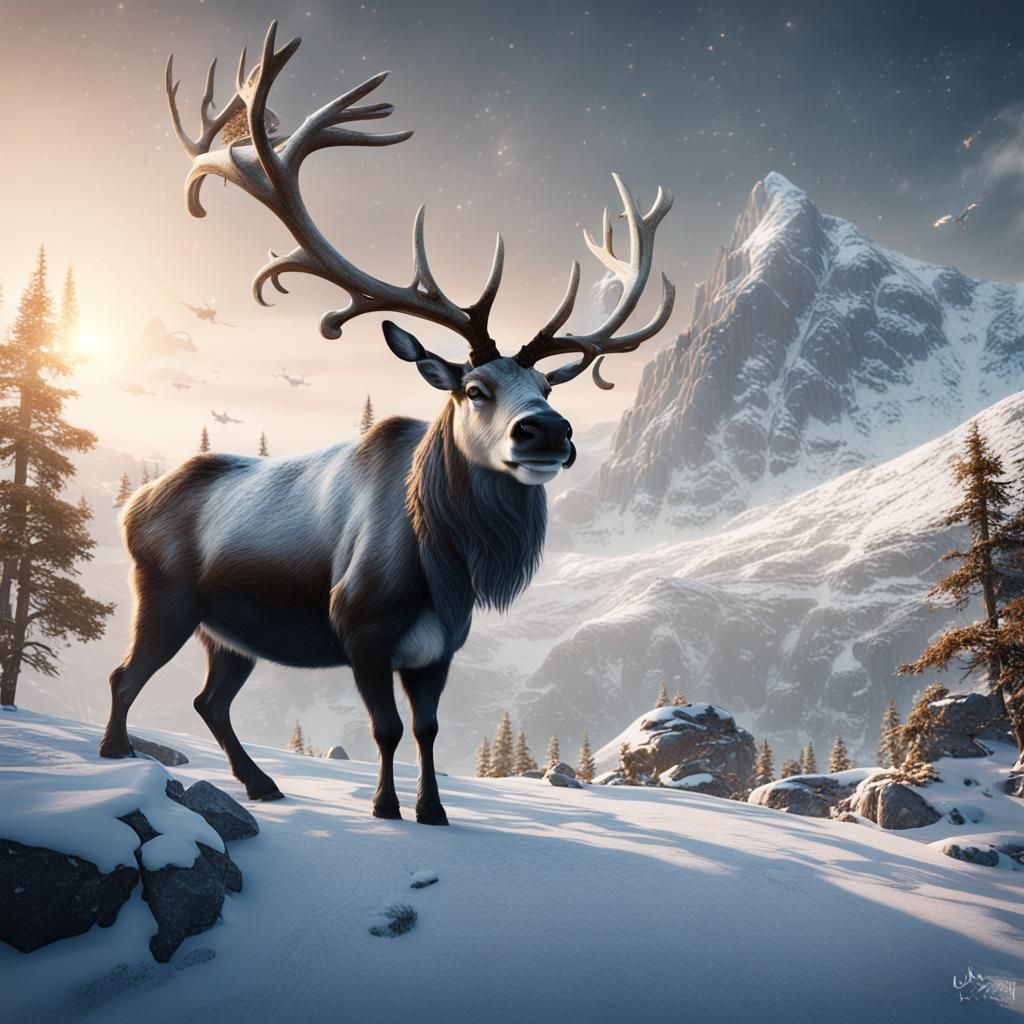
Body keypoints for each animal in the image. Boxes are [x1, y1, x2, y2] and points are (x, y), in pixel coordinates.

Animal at [99, 23, 675, 826]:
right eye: (474, 388)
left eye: (546, 386)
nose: (548, 434)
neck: (448, 564)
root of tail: (132, 504)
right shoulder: (358, 627)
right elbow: (387, 727)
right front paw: (384, 808)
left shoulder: (440, 648)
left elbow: (427, 728)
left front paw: (433, 811)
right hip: (165, 597)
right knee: (126, 674)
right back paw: (115, 753)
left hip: (230, 630)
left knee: (209, 700)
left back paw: (260, 782)